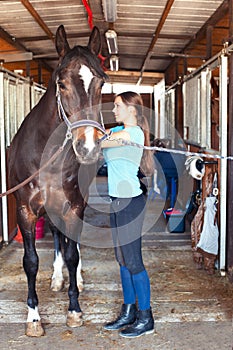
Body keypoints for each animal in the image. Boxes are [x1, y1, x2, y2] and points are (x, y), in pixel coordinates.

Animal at [7, 24, 107, 336]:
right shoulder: (25, 211)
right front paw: (33, 318)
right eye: (61, 84)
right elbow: (30, 261)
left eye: (101, 83)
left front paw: (74, 310)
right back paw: (56, 278)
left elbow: (73, 253)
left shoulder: (73, 207)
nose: (87, 147)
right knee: (55, 237)